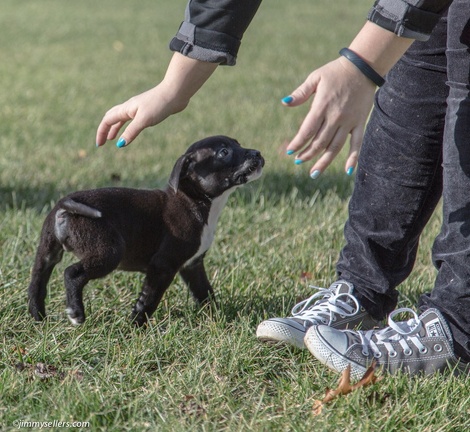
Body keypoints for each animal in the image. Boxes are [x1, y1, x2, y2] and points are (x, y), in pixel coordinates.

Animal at [27, 137, 264, 326]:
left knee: (37, 280)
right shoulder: (163, 266)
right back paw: (76, 313)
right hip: (108, 252)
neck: (195, 201)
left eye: (238, 144)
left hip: (48, 251)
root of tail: (64, 205)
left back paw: (37, 317)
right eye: (224, 152)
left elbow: (204, 292)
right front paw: (135, 325)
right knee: (71, 273)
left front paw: (216, 315)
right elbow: (149, 299)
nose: (258, 153)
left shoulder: (192, 265)